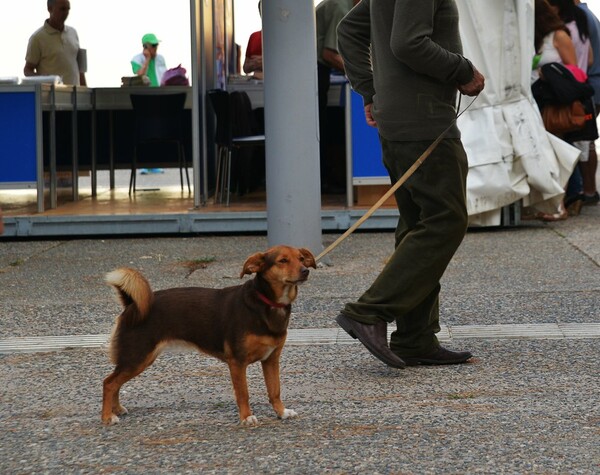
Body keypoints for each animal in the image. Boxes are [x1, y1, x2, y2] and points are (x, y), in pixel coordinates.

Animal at [102, 247, 318, 426]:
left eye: (301, 259)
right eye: (282, 261)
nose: (305, 271)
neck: (266, 303)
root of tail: (132, 304)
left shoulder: (271, 360)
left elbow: (275, 390)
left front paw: (281, 412)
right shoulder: (237, 362)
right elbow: (243, 393)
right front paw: (247, 417)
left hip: (137, 359)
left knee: (115, 382)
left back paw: (117, 409)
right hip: (137, 357)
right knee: (109, 383)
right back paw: (107, 417)